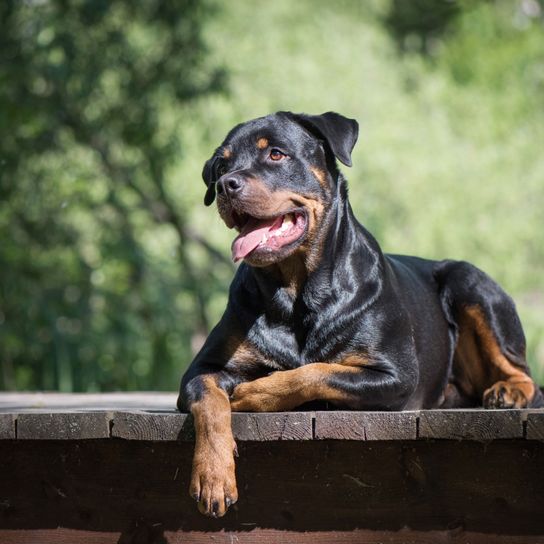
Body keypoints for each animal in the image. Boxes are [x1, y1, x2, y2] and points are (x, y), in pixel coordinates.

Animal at [176, 111, 540, 520]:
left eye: (275, 154)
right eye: (221, 165)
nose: (226, 184)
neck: (296, 292)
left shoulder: (395, 375)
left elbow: (315, 372)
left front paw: (255, 392)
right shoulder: (201, 369)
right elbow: (210, 404)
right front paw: (213, 477)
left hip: (470, 281)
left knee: (523, 372)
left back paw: (509, 392)